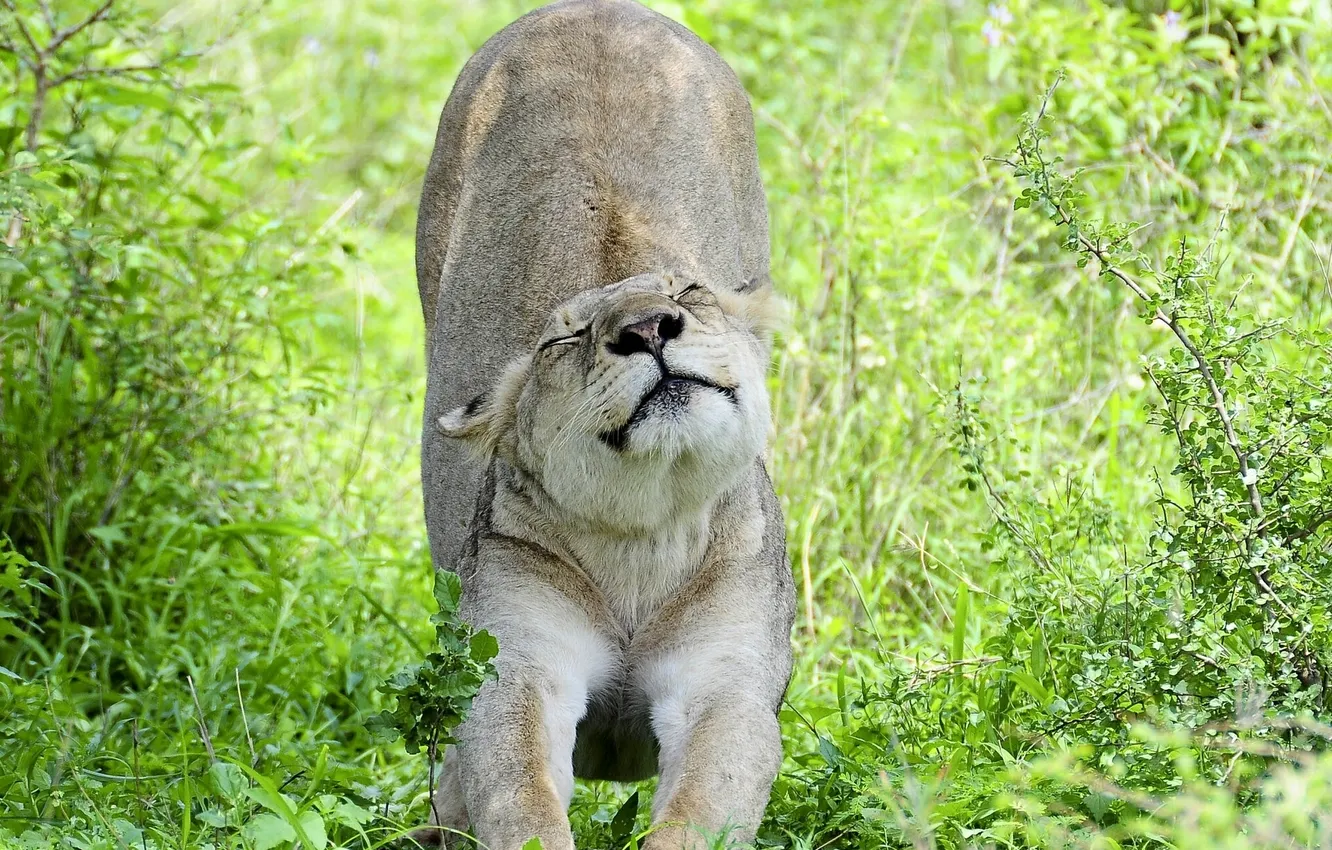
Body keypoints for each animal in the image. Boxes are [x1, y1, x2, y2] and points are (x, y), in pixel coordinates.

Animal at [413, 2, 795, 848]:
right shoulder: (518, 664)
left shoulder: (728, 686)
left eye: (687, 291)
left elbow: (699, 810)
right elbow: (519, 791)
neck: (643, 539)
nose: (649, 328)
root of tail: (594, 7)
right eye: (562, 340)